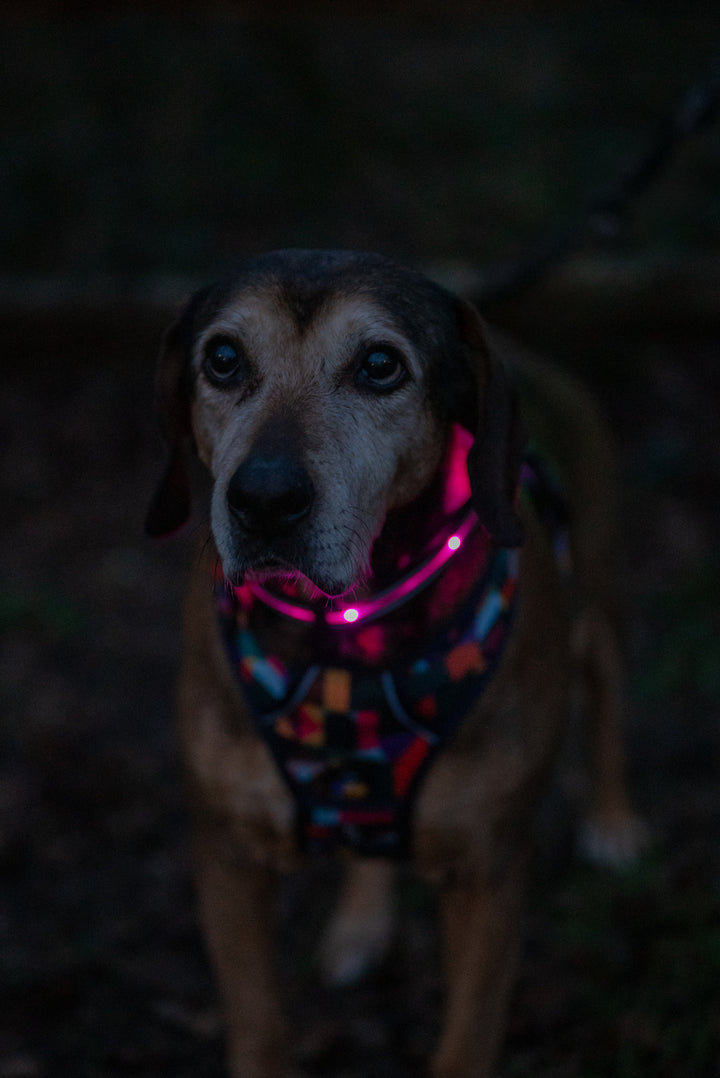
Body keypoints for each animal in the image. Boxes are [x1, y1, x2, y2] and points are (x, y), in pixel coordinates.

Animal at [143, 250, 642, 1078]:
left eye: (380, 366)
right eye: (223, 358)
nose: (264, 499)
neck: (343, 641)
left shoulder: (488, 871)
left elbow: (467, 1039)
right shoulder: (227, 855)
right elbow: (259, 1026)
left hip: (596, 592)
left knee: (606, 687)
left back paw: (613, 818)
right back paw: (362, 924)